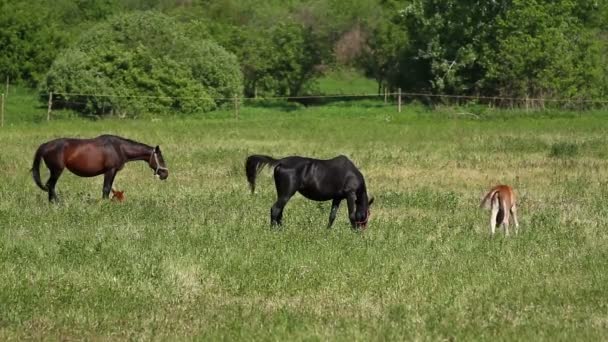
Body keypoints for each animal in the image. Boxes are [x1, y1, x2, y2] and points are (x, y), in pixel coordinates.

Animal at [32, 134, 167, 202]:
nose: (165, 174)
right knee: (50, 185)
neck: (119, 148)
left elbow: (109, 188)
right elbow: (106, 188)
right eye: (160, 158)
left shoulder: (113, 172)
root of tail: (45, 145)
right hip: (56, 170)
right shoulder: (109, 171)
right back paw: (56, 203)